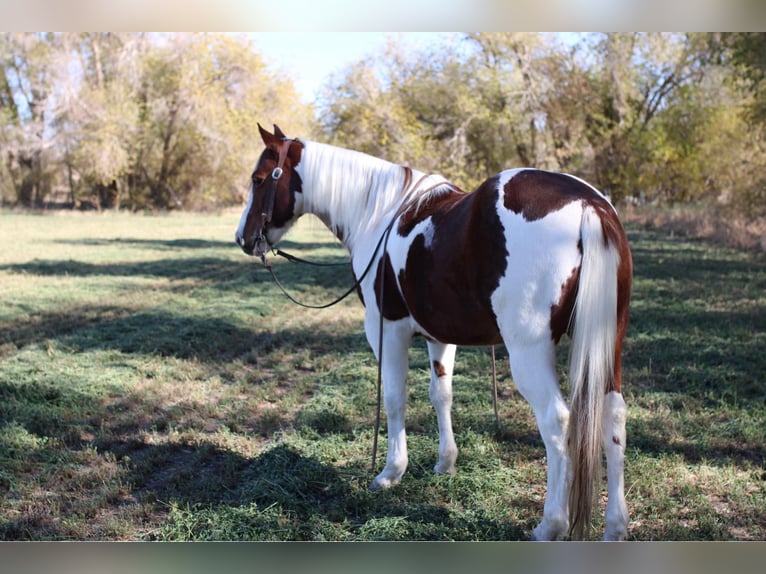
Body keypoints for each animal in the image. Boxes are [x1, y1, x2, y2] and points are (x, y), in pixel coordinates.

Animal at [237, 124, 632, 544]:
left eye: (258, 179)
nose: (243, 237)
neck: (378, 215)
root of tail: (589, 205)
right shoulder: (439, 336)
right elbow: (441, 395)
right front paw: (446, 462)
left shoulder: (386, 329)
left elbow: (395, 399)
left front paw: (391, 472)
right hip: (608, 347)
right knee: (613, 417)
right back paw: (615, 527)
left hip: (530, 353)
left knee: (556, 421)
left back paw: (550, 525)